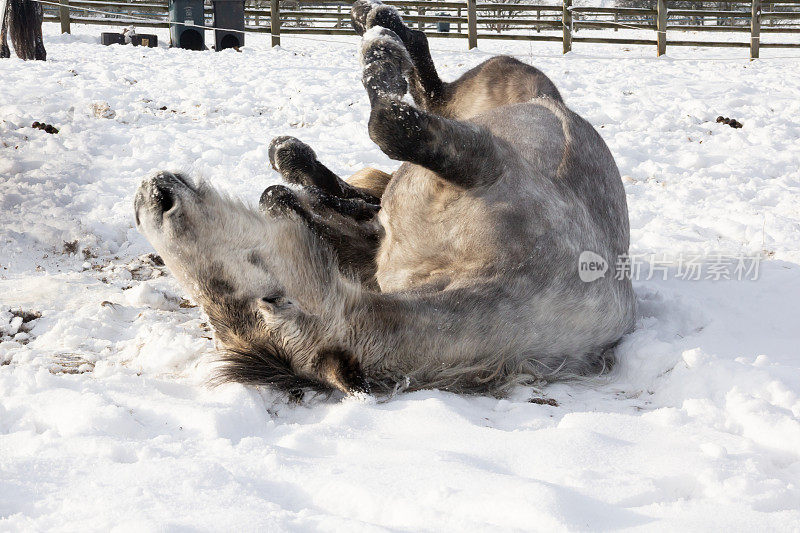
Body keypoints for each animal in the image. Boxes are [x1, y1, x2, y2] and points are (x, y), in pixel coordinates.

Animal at [134, 0, 636, 396]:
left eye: (269, 297)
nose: (150, 199)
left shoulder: (486, 158)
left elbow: (391, 126)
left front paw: (379, 48)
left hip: (494, 86)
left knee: (428, 87)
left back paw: (377, 24)